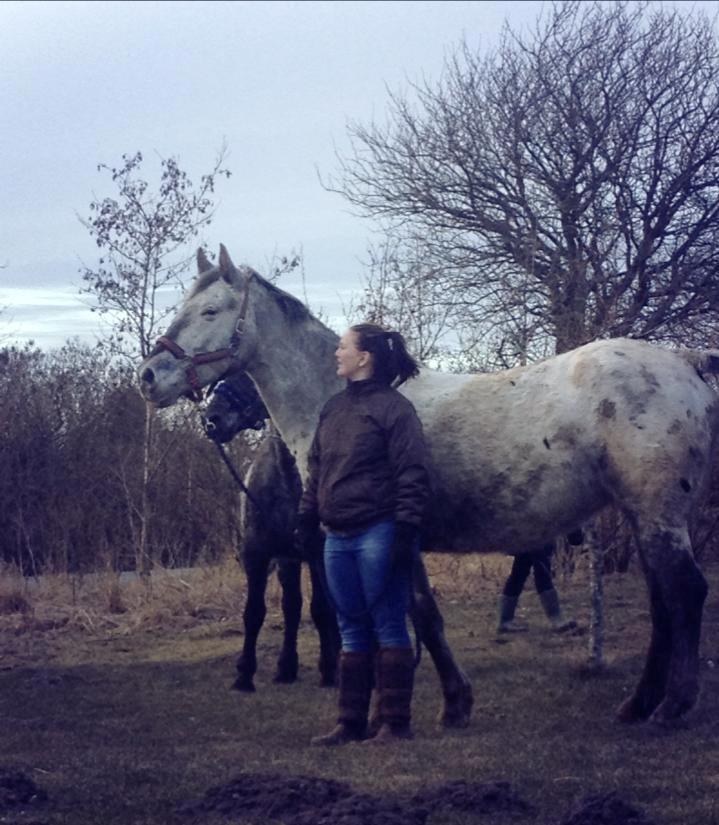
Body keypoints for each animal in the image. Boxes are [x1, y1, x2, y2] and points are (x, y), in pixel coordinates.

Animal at [205, 374, 340, 688]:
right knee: (293, 606)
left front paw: (329, 668)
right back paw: (286, 667)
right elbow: (255, 612)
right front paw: (245, 673)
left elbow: (322, 610)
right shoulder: (260, 554)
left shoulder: (316, 554)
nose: (212, 419)